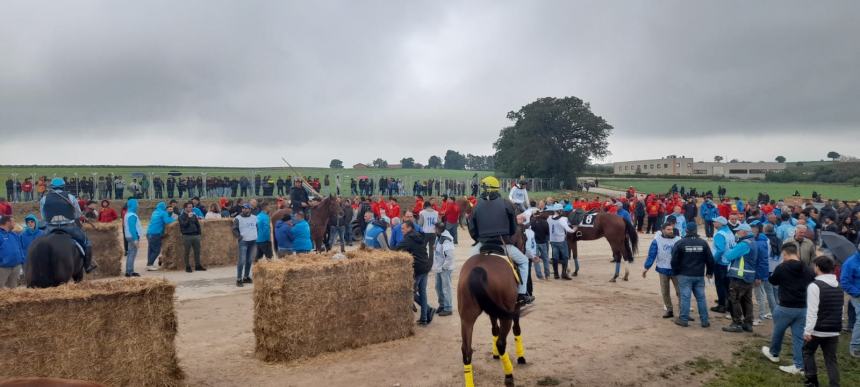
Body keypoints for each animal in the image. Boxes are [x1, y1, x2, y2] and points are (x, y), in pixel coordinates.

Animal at [456, 247, 524, 386]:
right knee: (501, 343)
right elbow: (517, 329)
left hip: (466, 318)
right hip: (506, 316)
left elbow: (494, 330)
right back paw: (509, 376)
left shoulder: (493, 311)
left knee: (466, 349)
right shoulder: (515, 307)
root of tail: (478, 270)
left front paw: (495, 355)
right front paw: (521, 357)